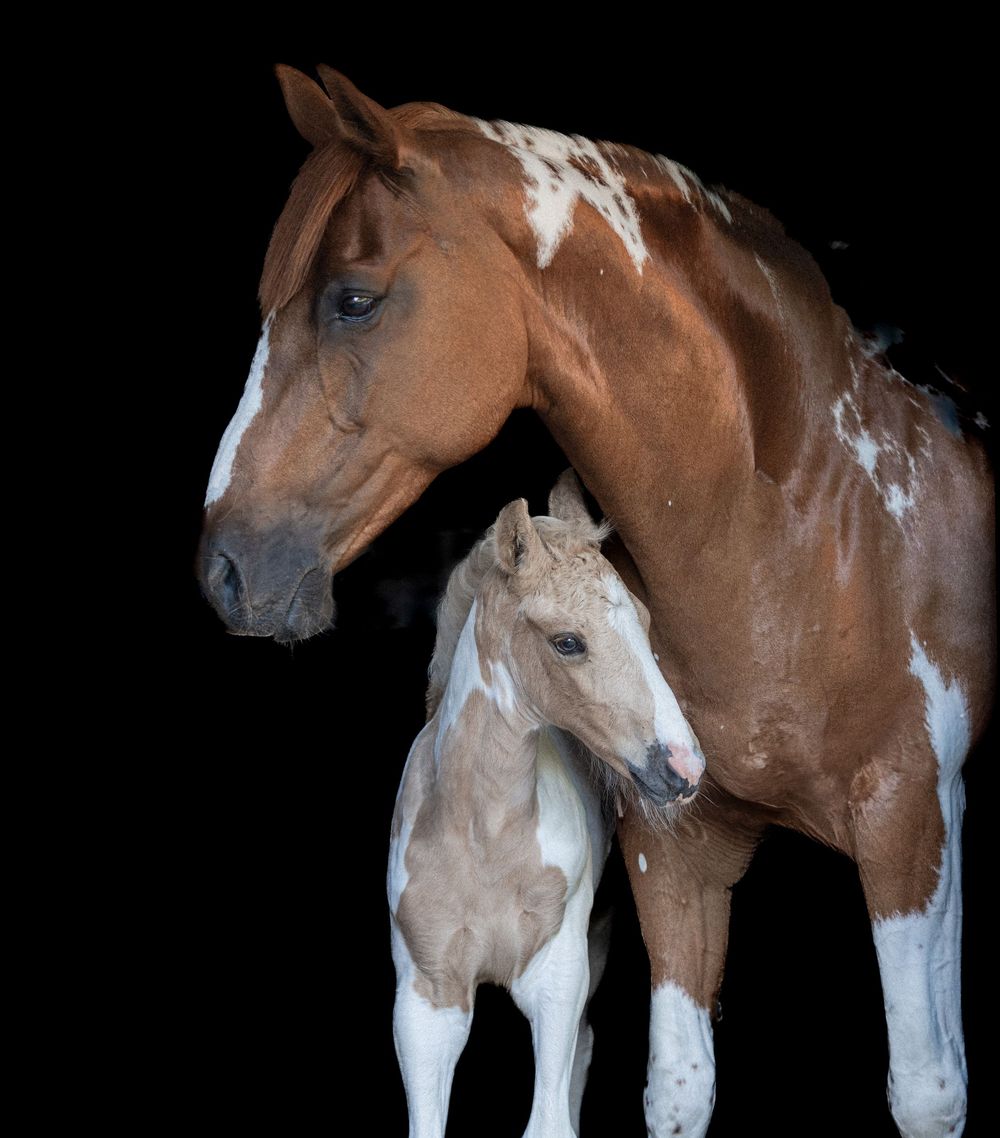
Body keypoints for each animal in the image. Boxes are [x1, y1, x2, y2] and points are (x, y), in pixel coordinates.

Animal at [389, 471, 703, 1137]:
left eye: (644, 621)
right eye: (568, 642)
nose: (684, 767)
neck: (482, 841)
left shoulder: (556, 979)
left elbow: (549, 1121)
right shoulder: (427, 1001)